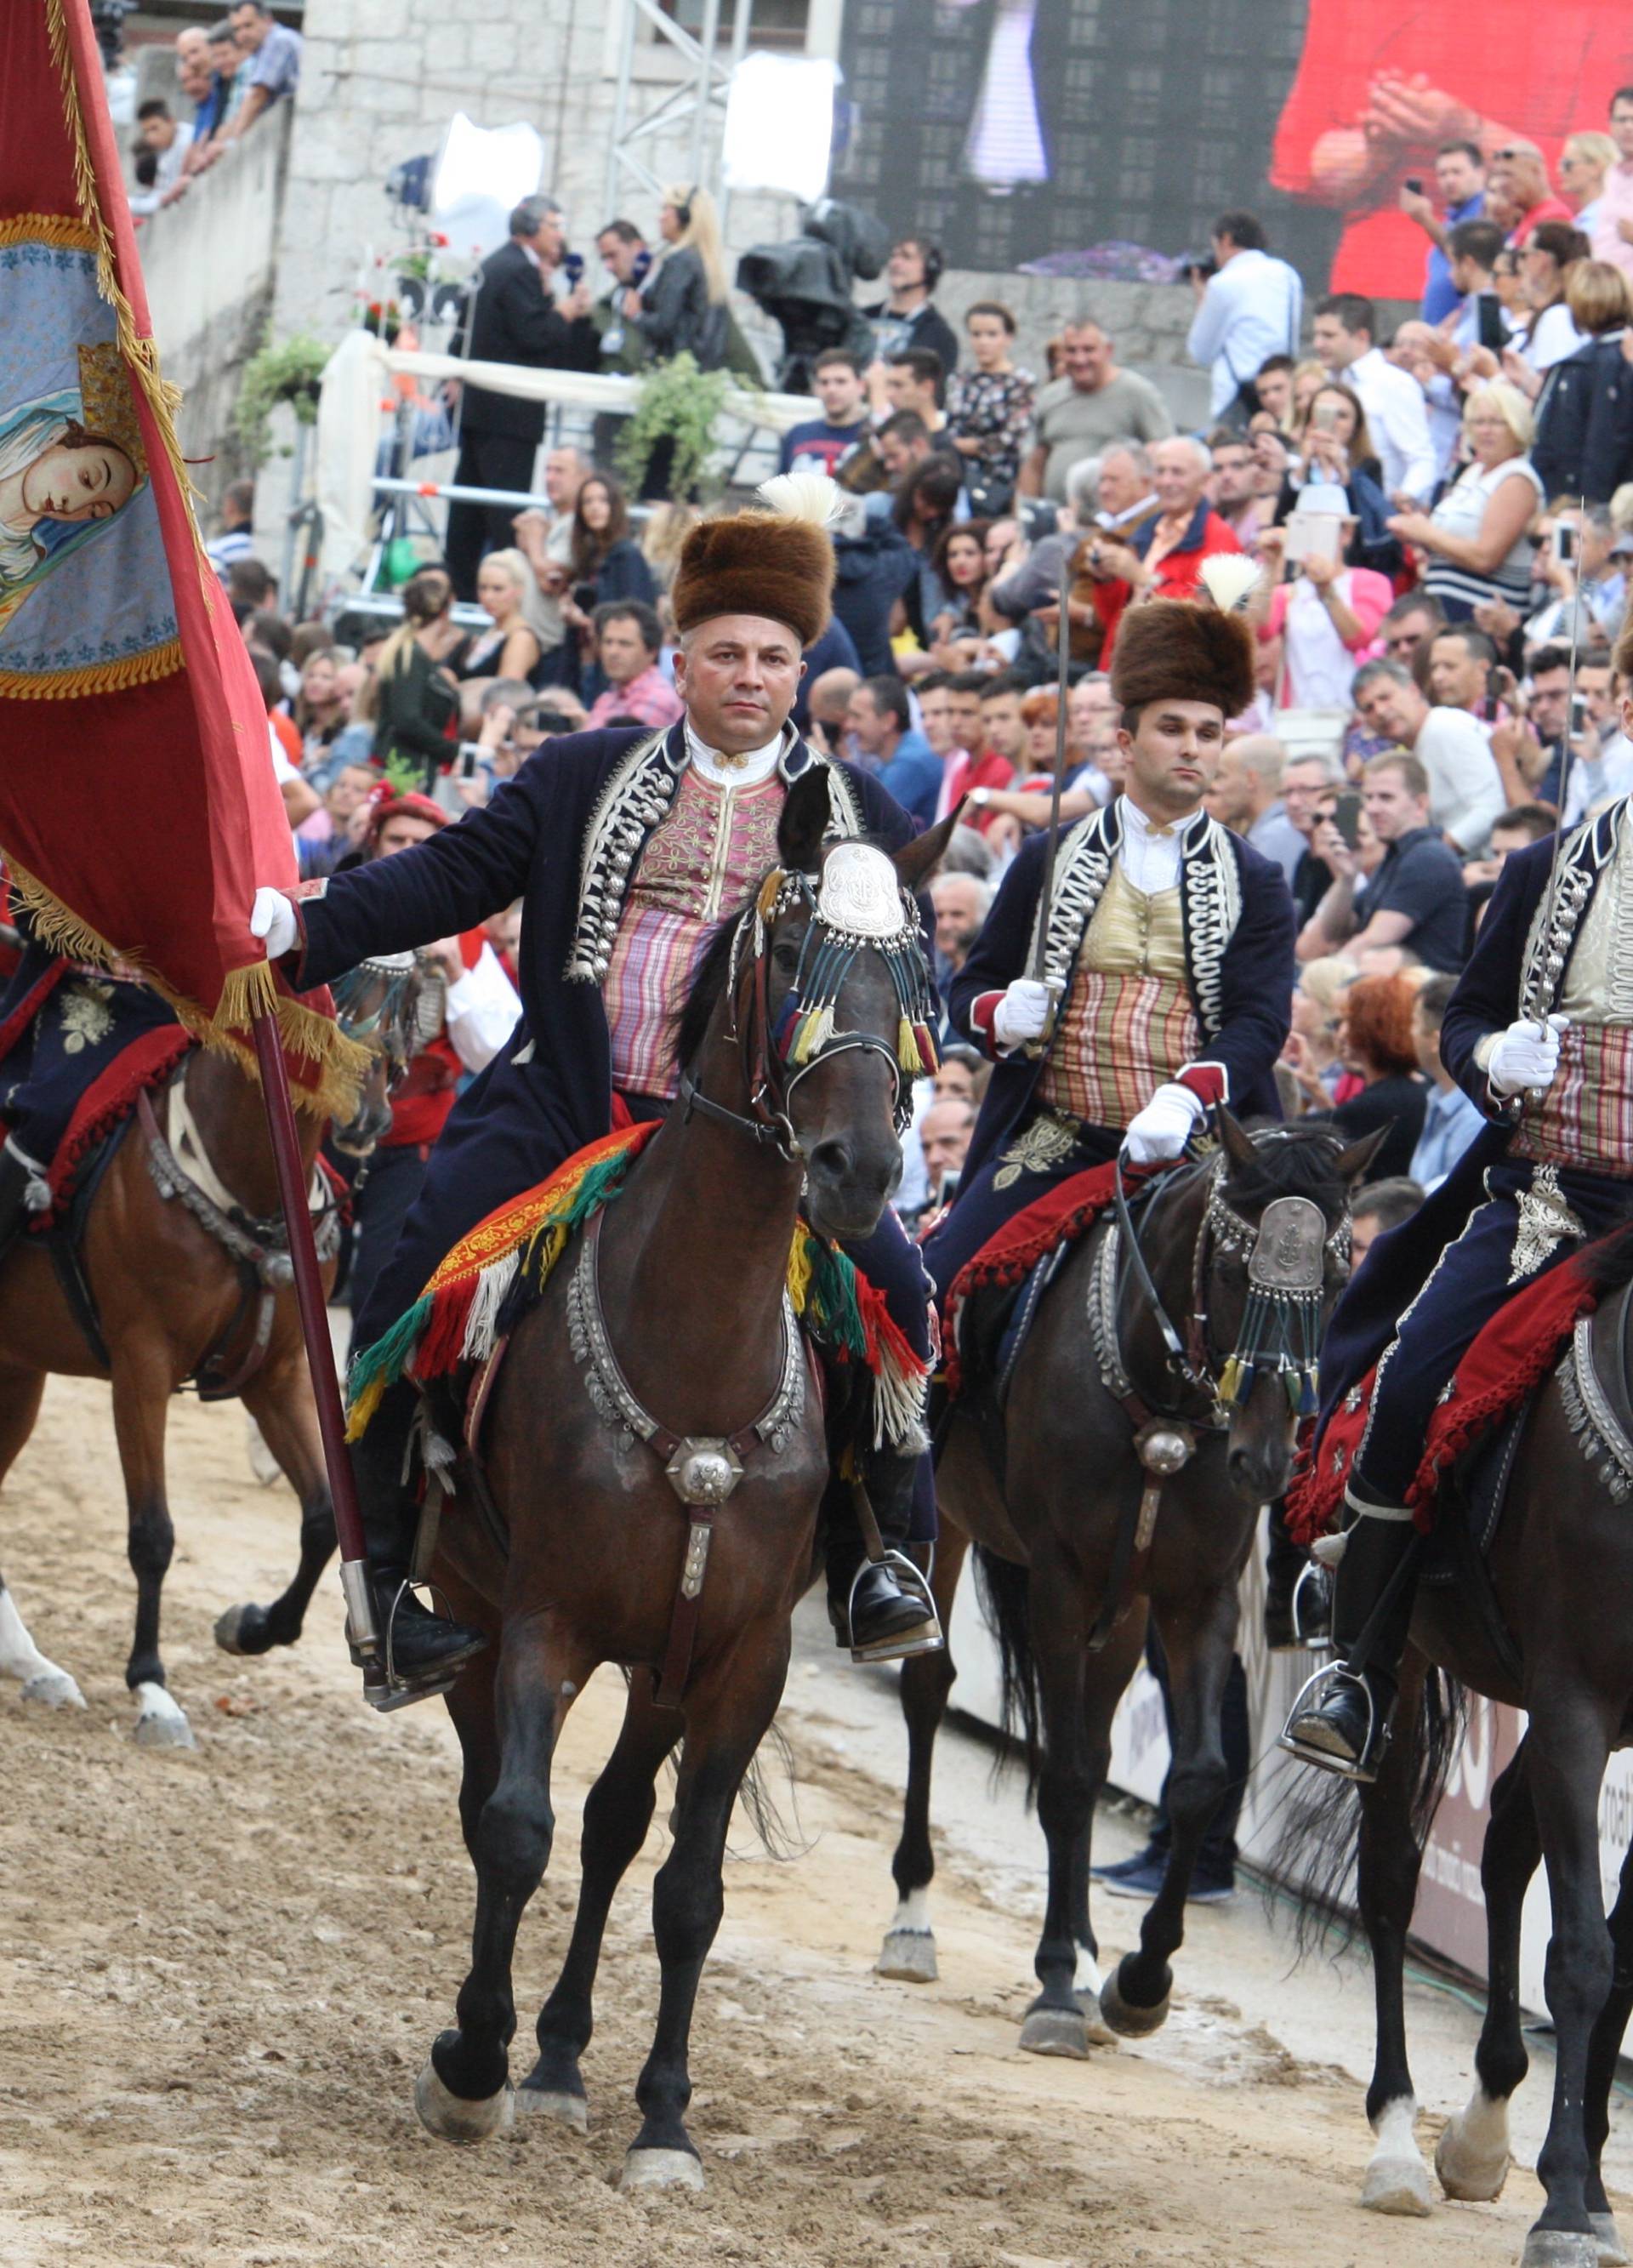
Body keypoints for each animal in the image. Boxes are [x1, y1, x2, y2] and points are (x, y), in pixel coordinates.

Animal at [0, 966, 410, 1741]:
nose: (368, 1116)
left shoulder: (280, 1376)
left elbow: (321, 1521)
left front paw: (253, 1627)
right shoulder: (141, 1367)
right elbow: (153, 1535)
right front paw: (151, 1688)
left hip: (22, 1371)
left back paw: (32, 1663)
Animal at [406, 780, 943, 2177]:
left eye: (921, 973)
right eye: (796, 956)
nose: (862, 1171)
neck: (695, 1349)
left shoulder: (745, 1657)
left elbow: (689, 1884)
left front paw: (662, 2116)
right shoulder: (540, 1622)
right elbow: (514, 1827)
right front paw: (469, 2064)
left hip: (666, 1662)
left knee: (613, 1822)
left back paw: (560, 2059)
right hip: (474, 1620)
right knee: (501, 1801)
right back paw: (510, 2053)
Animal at [879, 1115, 1379, 2059]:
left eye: (1338, 1281)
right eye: (1233, 1272)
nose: (1267, 1460)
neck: (1162, 1407)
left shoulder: (1196, 1597)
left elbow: (1197, 1779)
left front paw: (1139, 1980)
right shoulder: (1060, 1583)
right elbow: (1067, 1775)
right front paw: (1053, 1987)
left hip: (1128, 1605)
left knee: (1103, 1736)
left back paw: (1081, 1946)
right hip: (948, 1525)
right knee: (929, 1690)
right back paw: (915, 1916)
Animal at [1297, 1224, 1633, 2268]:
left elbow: (1621, 1954)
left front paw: (1592, 2185)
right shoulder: (1576, 1707)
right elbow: (1582, 1951)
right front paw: (1565, 2201)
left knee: (1504, 1846)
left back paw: (1484, 2128)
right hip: (1404, 1660)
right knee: (1391, 1879)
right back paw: (1399, 2141)